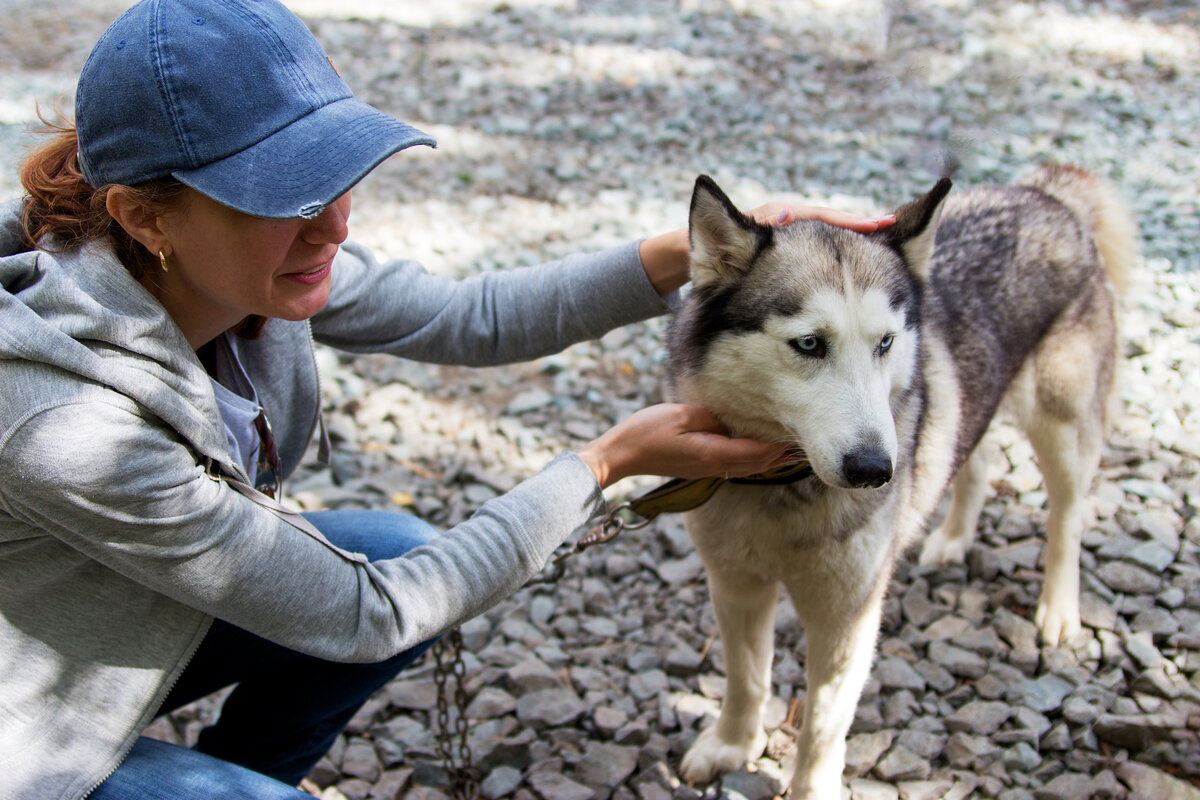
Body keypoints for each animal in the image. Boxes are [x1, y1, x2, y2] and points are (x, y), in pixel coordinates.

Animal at [672, 165, 1137, 796]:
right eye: (809, 343)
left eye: (885, 343)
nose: (874, 471)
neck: (779, 488)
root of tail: (1047, 194)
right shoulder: (736, 584)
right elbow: (747, 678)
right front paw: (731, 745)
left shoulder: (849, 614)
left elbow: (823, 722)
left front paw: (811, 785)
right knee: (975, 459)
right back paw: (953, 537)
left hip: (1061, 425)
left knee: (1067, 514)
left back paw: (1059, 608)